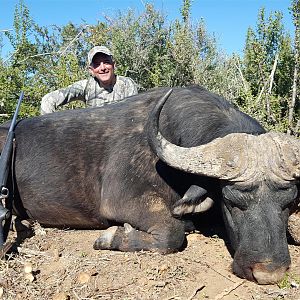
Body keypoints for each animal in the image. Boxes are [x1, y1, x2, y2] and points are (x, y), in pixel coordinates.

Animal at [0, 85, 300, 284]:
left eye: (289, 203)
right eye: (232, 201)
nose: (269, 273)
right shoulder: (124, 202)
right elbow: (172, 233)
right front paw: (111, 236)